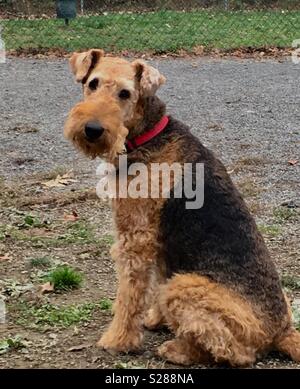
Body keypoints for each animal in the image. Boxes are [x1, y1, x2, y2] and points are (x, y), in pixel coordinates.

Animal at [63, 49, 300, 364]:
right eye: (92, 83)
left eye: (125, 93)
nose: (92, 129)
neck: (148, 135)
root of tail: (282, 331)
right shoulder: (158, 243)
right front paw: (155, 319)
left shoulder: (135, 238)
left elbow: (129, 295)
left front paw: (118, 339)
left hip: (184, 286)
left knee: (234, 352)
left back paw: (177, 349)